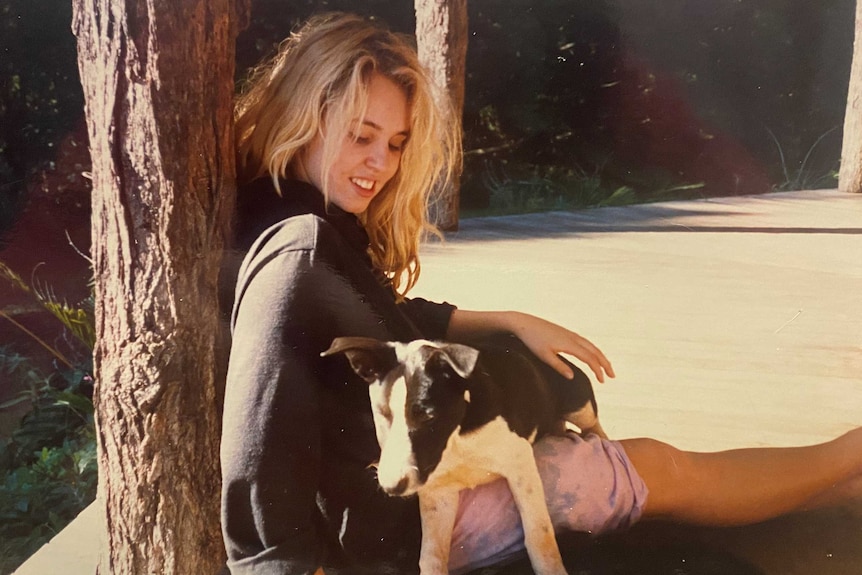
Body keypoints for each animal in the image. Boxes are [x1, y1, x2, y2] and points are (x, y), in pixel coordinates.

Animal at [320, 336, 604, 572]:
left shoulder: (520, 465)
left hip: (578, 402)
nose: (392, 487)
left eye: (427, 416)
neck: (456, 438)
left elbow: (539, 537)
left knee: (593, 424)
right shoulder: (438, 494)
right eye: (382, 413)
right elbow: (431, 556)